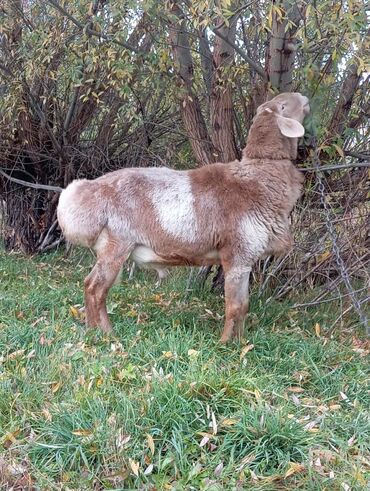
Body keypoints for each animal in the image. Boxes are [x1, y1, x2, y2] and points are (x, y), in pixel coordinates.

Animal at [57, 94, 310, 344]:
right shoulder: (238, 254)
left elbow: (244, 306)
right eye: (283, 105)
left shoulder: (244, 258)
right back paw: (107, 334)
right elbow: (235, 306)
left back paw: (93, 330)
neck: (256, 178)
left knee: (90, 285)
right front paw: (225, 345)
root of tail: (87, 192)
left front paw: (240, 343)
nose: (304, 98)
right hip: (116, 245)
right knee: (95, 288)